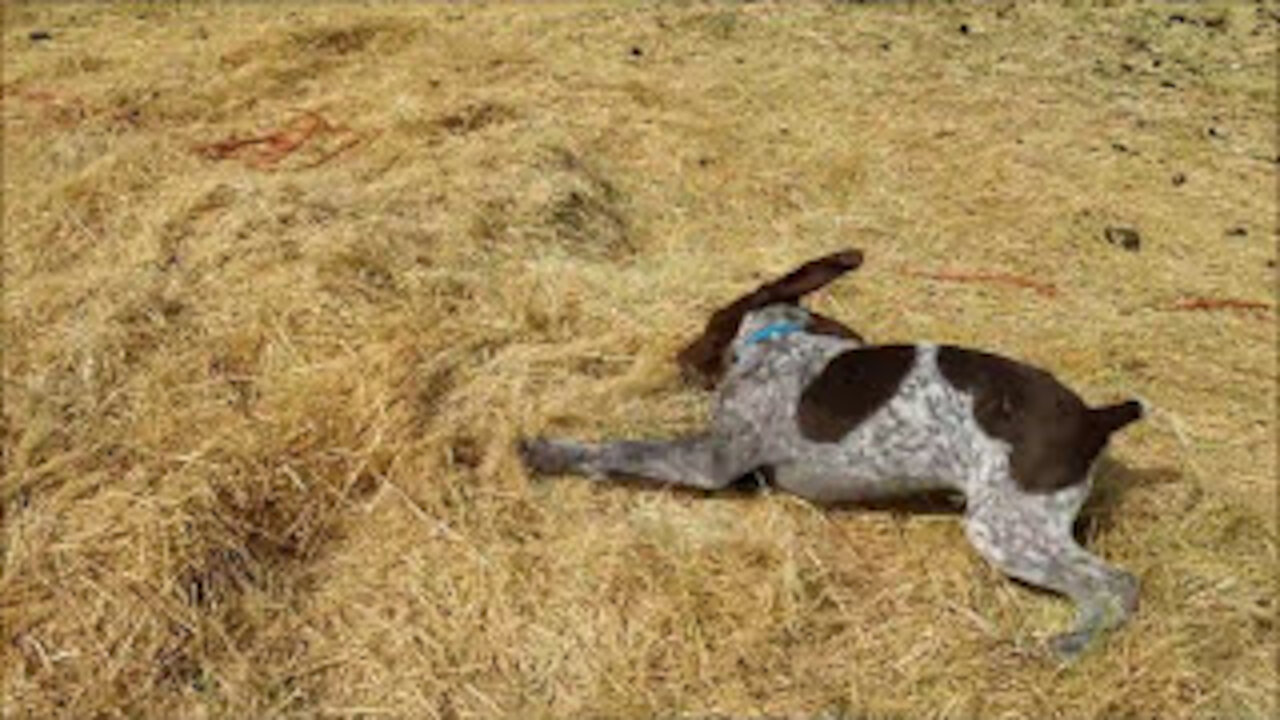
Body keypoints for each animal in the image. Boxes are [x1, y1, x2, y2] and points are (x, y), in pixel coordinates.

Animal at [517, 249, 1141, 661]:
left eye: (708, 320)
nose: (678, 358)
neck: (777, 343)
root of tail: (1096, 417)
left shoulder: (710, 460)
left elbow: (623, 446)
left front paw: (548, 452)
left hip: (1006, 527)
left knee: (1116, 586)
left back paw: (1064, 646)